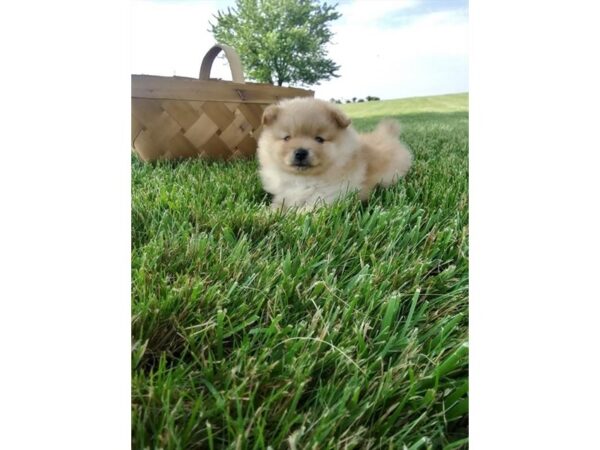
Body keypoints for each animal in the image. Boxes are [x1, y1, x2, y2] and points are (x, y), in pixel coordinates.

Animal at [255, 97, 410, 210]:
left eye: (319, 139)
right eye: (287, 138)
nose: (301, 152)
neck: (303, 179)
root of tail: (387, 135)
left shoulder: (328, 196)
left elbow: (307, 211)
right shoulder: (285, 194)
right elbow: (279, 205)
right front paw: (267, 215)